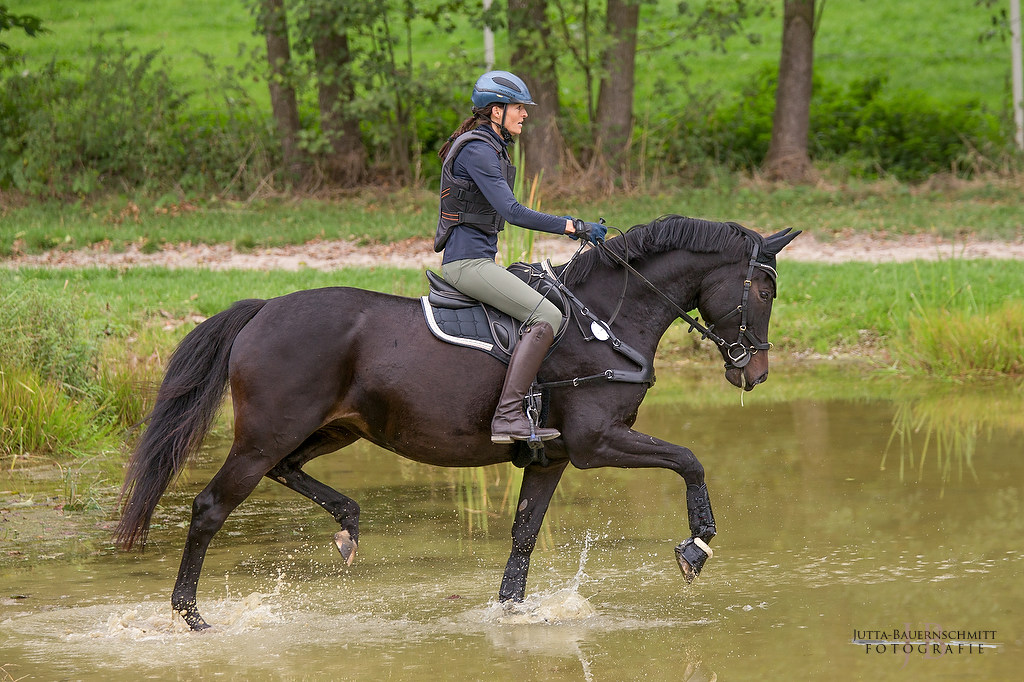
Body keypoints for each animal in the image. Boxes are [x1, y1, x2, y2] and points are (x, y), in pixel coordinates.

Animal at [112, 214, 798, 626]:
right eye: (763, 292)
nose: (756, 373)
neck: (606, 318)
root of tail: (263, 309)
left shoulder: (554, 456)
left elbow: (524, 535)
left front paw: (511, 613)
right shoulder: (597, 441)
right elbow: (689, 459)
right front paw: (696, 546)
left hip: (331, 429)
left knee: (289, 471)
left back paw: (347, 524)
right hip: (265, 433)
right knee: (210, 507)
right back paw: (190, 616)